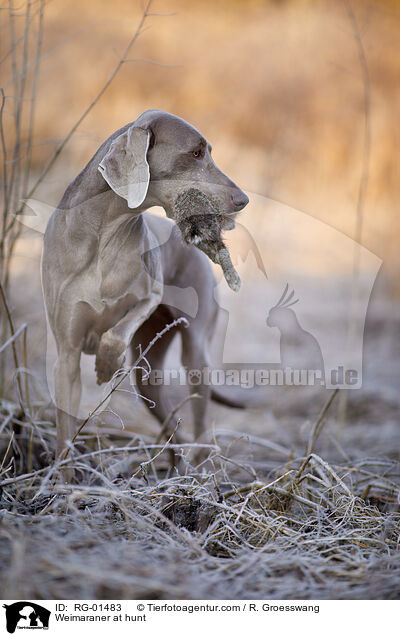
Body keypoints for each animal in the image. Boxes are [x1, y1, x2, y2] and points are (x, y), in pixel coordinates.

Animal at [42, 110, 248, 476]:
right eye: (196, 153)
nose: (243, 200)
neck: (103, 236)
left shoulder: (150, 293)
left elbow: (119, 327)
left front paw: (107, 363)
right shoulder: (66, 356)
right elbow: (64, 434)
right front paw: (60, 483)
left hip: (195, 355)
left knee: (200, 419)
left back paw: (202, 468)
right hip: (148, 378)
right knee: (172, 425)